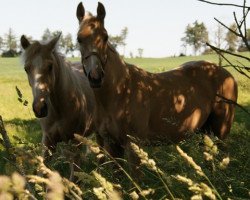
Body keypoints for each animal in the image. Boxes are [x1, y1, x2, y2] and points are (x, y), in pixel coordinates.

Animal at [20, 34, 95, 178]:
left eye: (50, 66)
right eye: (26, 68)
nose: (40, 108)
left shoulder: (74, 142)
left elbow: (74, 177)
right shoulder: (48, 141)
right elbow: (42, 172)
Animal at [75, 2, 238, 164]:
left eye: (105, 37)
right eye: (79, 39)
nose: (95, 77)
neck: (120, 91)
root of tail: (227, 75)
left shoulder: (134, 146)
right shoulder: (112, 145)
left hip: (221, 133)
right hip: (204, 131)